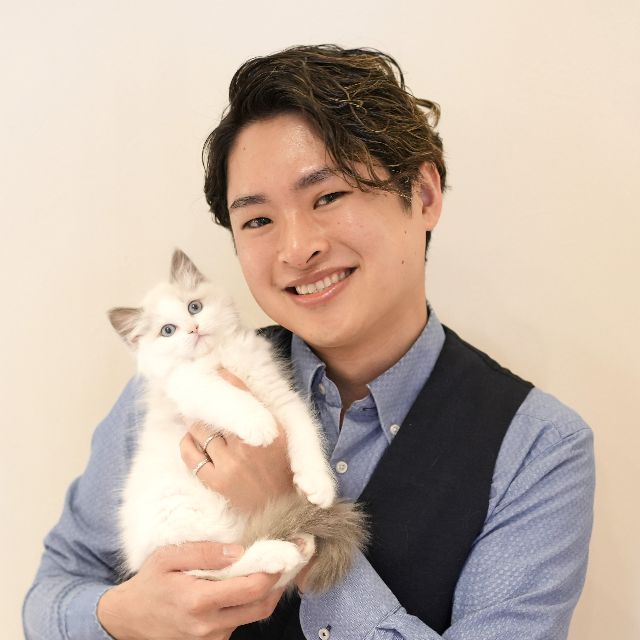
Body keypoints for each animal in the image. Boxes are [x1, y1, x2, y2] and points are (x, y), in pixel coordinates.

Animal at [109, 249, 367, 591]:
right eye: (168, 330)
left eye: (194, 307)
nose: (193, 329)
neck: (220, 354)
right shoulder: (190, 386)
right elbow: (229, 398)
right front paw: (260, 425)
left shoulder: (282, 397)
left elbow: (306, 434)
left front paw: (318, 486)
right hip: (180, 516)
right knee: (219, 568)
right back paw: (277, 554)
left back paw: (298, 546)